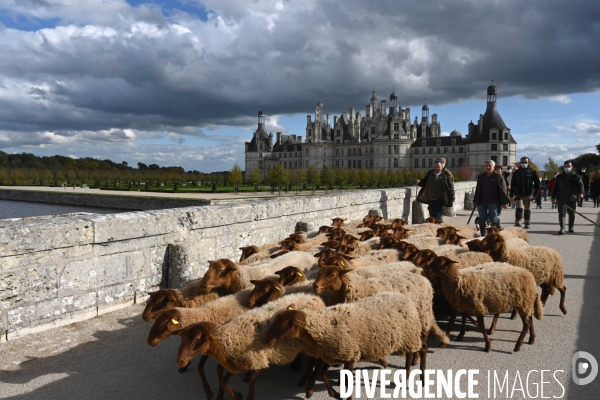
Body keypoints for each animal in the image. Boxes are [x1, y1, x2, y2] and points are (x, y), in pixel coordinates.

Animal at [175, 290, 328, 400]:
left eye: (196, 340)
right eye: (182, 339)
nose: (180, 361)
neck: (229, 338)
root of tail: (315, 297)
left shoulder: (256, 360)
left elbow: (251, 383)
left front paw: (245, 396)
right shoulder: (236, 363)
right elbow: (224, 381)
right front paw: (237, 395)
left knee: (317, 361)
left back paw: (308, 386)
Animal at [264, 292, 424, 398]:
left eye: (286, 323)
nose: (266, 339)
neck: (321, 327)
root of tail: (406, 298)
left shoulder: (349, 355)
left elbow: (346, 383)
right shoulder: (334, 356)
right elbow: (322, 373)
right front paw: (335, 394)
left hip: (410, 334)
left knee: (417, 351)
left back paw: (412, 377)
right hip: (408, 336)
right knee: (417, 351)